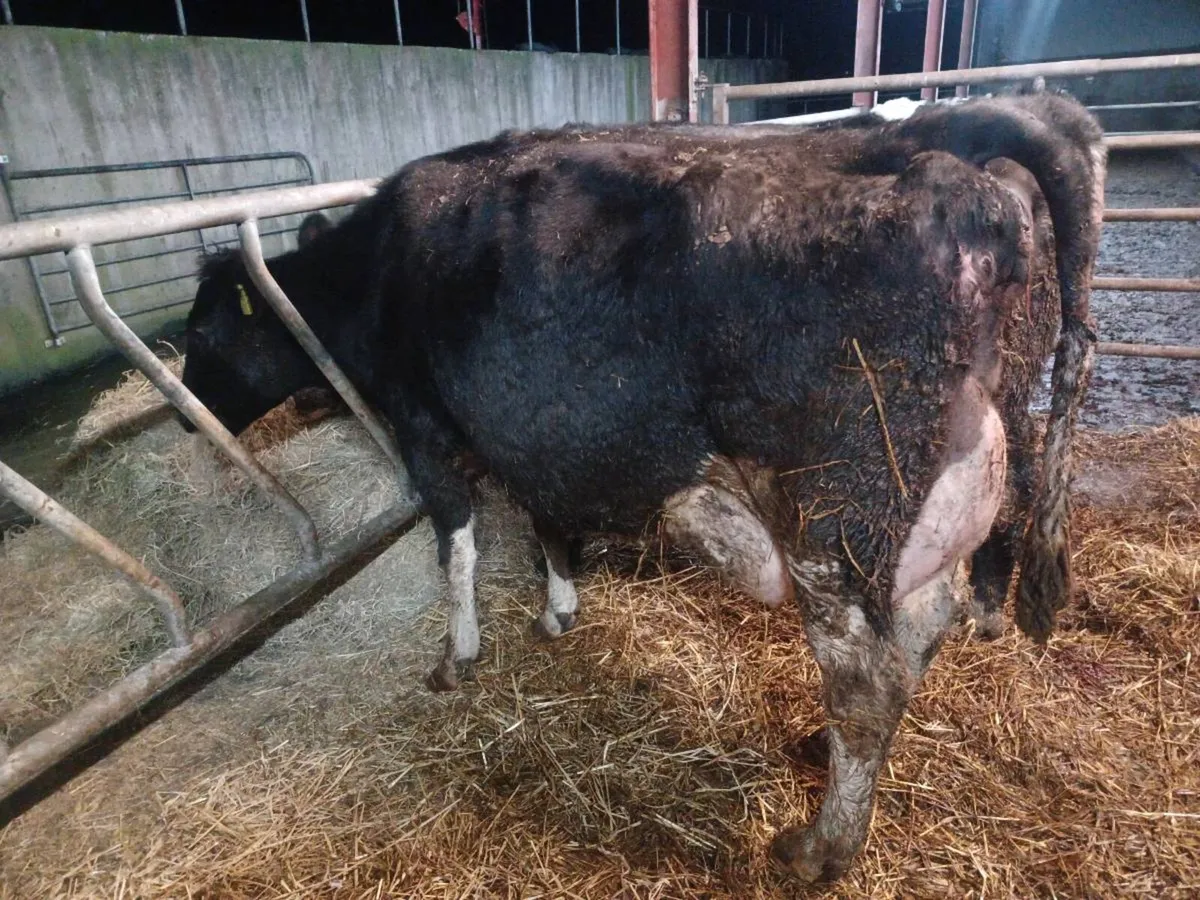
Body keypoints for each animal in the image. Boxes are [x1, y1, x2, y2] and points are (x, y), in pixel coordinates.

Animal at [178, 91, 1104, 882]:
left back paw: (820, 849)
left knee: (868, 682)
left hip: (832, 514)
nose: (188, 423)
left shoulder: (426, 429)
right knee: (920, 629)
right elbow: (547, 524)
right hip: (932, 493)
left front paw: (458, 655)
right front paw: (558, 610)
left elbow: (457, 547)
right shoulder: (537, 435)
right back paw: (826, 750)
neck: (372, 272)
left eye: (203, 332)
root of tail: (928, 137)